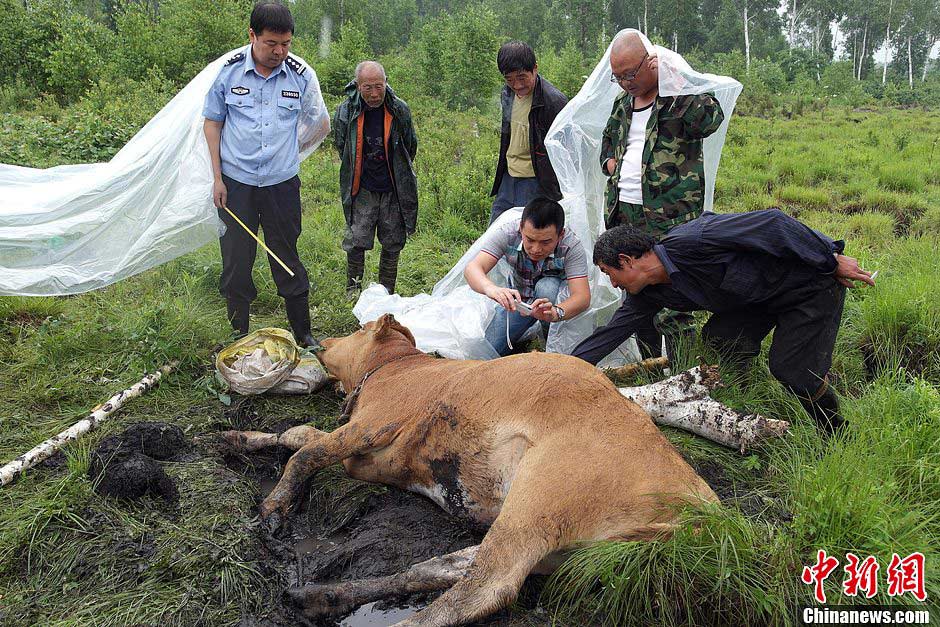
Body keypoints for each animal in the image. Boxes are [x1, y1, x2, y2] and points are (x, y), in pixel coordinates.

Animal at [222, 316, 720, 624]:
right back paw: (321, 596)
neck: (397, 369)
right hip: (563, 549)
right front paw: (239, 439)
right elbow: (298, 434)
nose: (320, 342)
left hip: (540, 497)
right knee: (438, 567)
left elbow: (306, 452)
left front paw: (274, 508)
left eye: (360, 328)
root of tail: (703, 507)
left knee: (485, 587)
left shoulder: (373, 423)